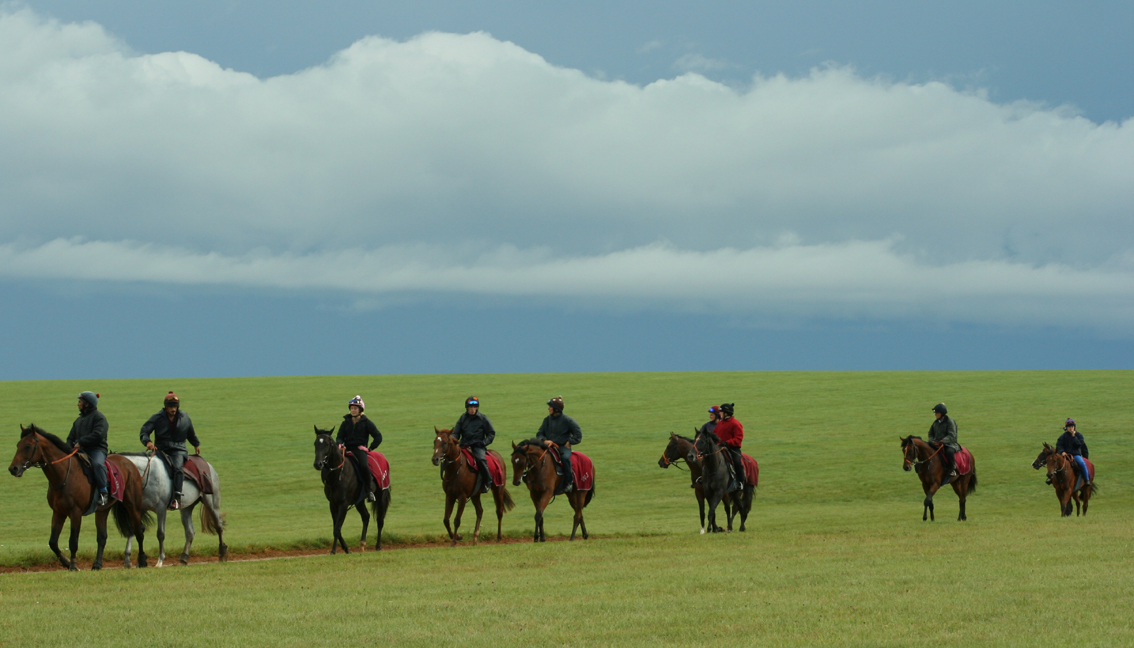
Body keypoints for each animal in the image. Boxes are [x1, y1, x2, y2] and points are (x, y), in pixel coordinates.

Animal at [9, 424, 153, 569]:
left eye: (28, 446)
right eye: (18, 445)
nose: (13, 469)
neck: (64, 475)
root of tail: (129, 463)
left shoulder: (75, 512)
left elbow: (73, 541)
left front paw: (73, 565)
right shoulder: (58, 512)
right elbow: (53, 542)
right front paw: (66, 562)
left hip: (132, 505)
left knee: (139, 531)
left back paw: (142, 561)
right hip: (102, 510)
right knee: (102, 537)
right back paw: (97, 564)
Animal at [312, 428, 392, 556]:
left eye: (327, 444)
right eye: (315, 443)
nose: (317, 464)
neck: (338, 474)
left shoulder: (343, 504)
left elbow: (337, 528)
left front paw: (333, 550)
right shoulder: (333, 504)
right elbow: (336, 527)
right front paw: (346, 548)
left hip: (381, 495)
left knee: (380, 520)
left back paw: (378, 546)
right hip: (359, 501)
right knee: (366, 516)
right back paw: (362, 543)